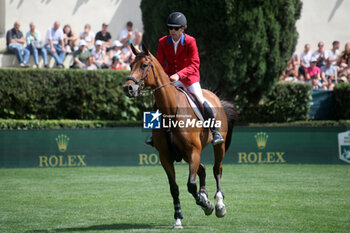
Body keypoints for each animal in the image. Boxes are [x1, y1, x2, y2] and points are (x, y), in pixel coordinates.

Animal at [123, 43, 238, 229]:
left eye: (144, 65)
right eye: (130, 64)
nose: (128, 88)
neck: (171, 110)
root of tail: (216, 98)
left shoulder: (193, 152)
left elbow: (191, 185)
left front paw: (207, 205)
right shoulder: (166, 156)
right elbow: (174, 188)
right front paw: (178, 217)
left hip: (216, 146)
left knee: (216, 170)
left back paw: (219, 205)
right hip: (185, 154)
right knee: (203, 169)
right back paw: (204, 194)